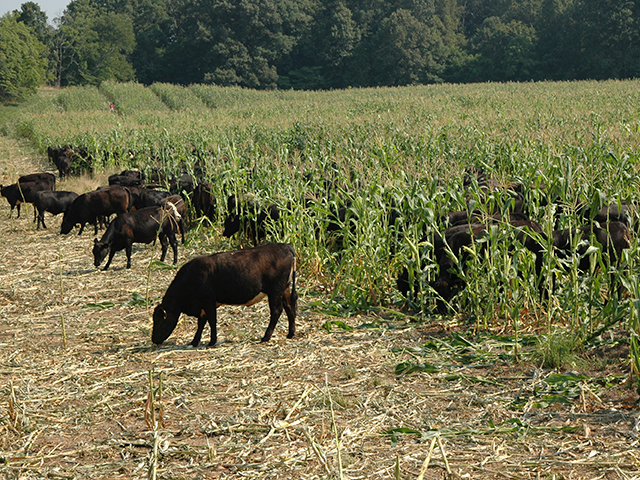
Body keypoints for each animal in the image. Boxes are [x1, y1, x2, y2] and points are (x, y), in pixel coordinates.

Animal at [152, 243, 297, 347]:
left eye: (159, 322)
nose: (153, 339)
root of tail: (284, 246)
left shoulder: (208, 301)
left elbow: (211, 320)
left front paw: (212, 341)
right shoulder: (204, 306)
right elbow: (201, 323)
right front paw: (194, 341)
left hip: (275, 291)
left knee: (276, 311)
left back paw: (266, 337)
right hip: (284, 289)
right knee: (290, 308)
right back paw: (291, 333)